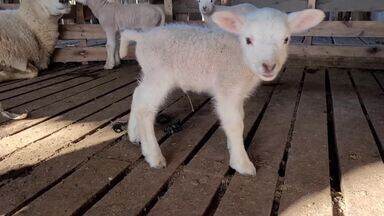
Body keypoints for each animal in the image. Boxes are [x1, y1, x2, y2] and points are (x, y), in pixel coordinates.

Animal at [120, 8, 324, 176]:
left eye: (286, 39)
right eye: (248, 40)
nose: (269, 66)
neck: (241, 57)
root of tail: (143, 37)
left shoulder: (238, 93)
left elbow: (239, 118)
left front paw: (232, 146)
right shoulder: (228, 88)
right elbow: (235, 124)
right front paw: (242, 162)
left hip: (150, 73)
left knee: (137, 95)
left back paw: (134, 135)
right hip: (159, 75)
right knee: (145, 108)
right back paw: (153, 155)